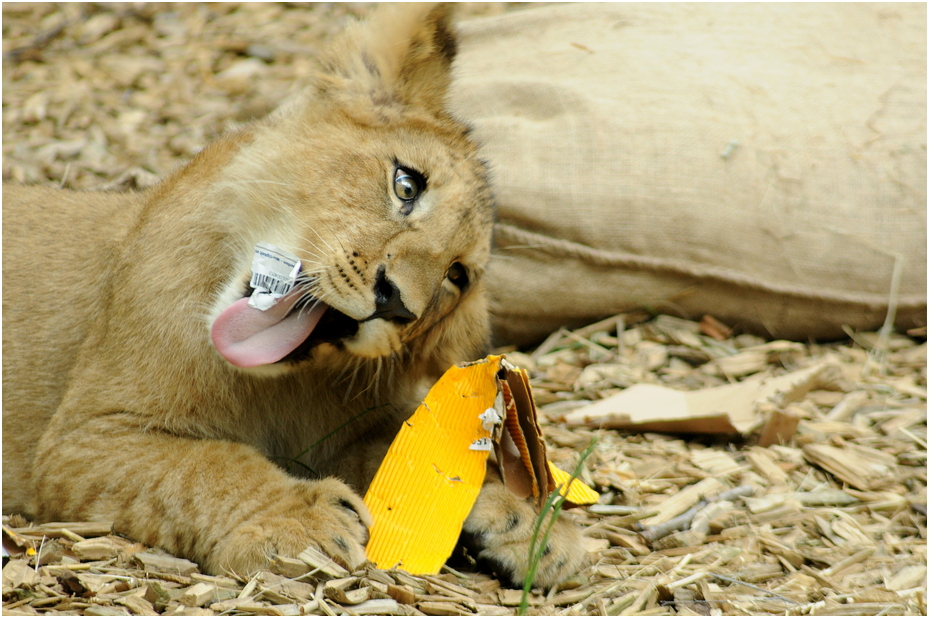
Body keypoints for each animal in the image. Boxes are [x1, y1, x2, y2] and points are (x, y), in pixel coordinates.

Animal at [2, 3, 587, 588]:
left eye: (457, 275)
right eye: (406, 185)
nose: (396, 303)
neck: (274, 385)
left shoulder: (354, 428)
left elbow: (412, 451)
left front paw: (529, 525)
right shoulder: (83, 439)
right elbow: (203, 467)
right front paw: (295, 523)